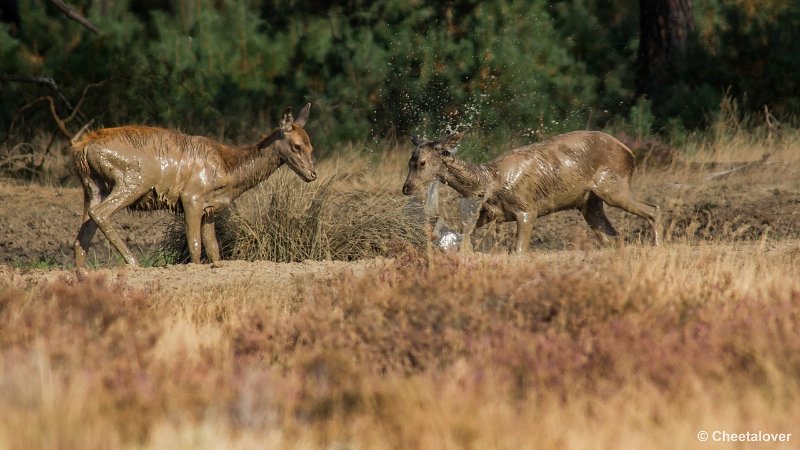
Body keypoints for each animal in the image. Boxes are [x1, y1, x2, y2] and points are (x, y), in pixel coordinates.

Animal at [71, 103, 316, 266]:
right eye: (296, 146)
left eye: (310, 145)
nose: (312, 174)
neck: (229, 173)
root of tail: (83, 147)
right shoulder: (191, 198)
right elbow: (195, 247)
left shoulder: (210, 209)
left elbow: (214, 250)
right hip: (134, 178)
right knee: (100, 214)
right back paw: (134, 263)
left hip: (92, 185)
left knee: (83, 232)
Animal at [404, 131, 660, 253]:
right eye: (410, 161)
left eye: (423, 163)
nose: (406, 188)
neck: (490, 182)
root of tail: (630, 154)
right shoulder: (490, 213)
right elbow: (464, 233)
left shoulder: (526, 208)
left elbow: (518, 250)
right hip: (590, 203)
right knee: (613, 237)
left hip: (613, 186)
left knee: (653, 208)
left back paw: (657, 245)